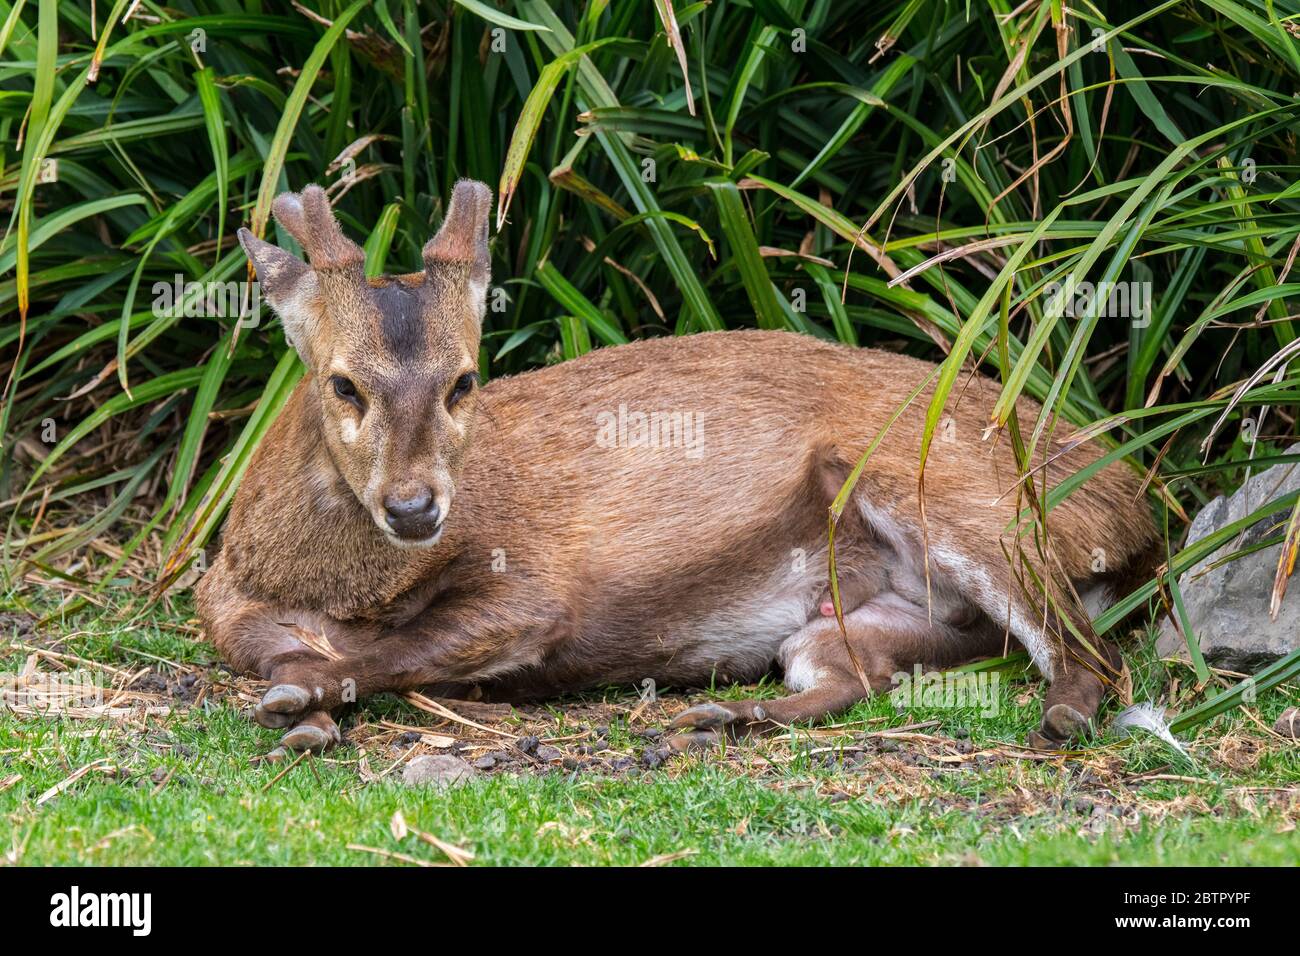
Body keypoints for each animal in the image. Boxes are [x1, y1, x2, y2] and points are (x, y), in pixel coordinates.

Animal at [197, 183, 1164, 759]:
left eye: (464, 379)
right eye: (343, 383)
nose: (412, 508)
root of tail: (1141, 505)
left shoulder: (532, 585)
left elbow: (393, 650)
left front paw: (302, 702)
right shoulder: (222, 599)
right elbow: (274, 644)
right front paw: (305, 708)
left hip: (967, 502)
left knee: (1091, 651)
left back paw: (1062, 717)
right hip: (870, 617)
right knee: (851, 675)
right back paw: (720, 716)